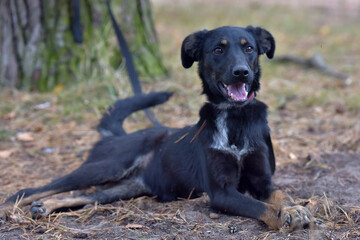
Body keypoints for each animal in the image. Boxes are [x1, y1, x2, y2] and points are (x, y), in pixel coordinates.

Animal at [0, 25, 320, 231]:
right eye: (218, 50)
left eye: (249, 48)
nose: (241, 72)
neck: (236, 120)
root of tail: (119, 135)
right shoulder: (222, 192)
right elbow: (261, 207)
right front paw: (281, 216)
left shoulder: (261, 181)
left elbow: (280, 194)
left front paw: (294, 209)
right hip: (107, 166)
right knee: (29, 190)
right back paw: (12, 208)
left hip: (123, 189)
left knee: (83, 196)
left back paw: (46, 207)